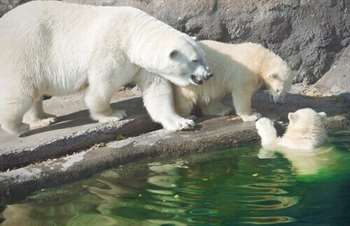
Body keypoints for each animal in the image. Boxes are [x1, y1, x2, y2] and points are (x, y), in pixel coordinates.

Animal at [0, 0, 211, 135]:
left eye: (202, 55)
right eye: (195, 60)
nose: (209, 74)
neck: (133, 33)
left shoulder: (142, 66)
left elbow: (157, 92)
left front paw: (182, 122)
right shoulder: (112, 49)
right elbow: (102, 85)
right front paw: (113, 115)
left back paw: (43, 118)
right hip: (26, 51)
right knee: (21, 93)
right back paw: (18, 127)